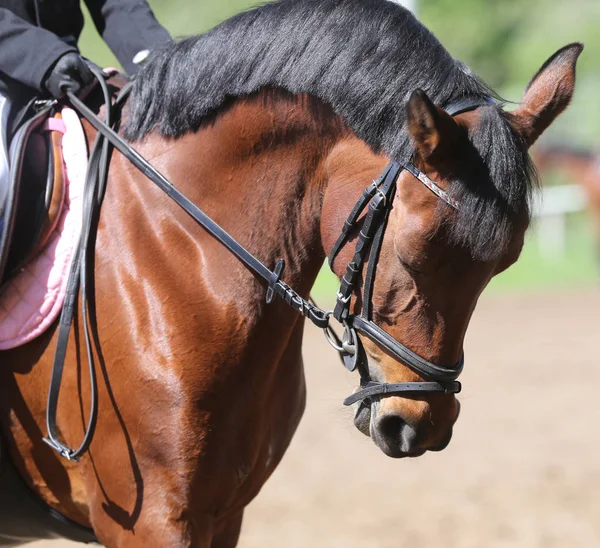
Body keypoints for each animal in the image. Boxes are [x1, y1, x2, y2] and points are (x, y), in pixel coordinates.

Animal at [0, 0, 580, 544]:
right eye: (414, 253)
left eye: (500, 266)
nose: (419, 427)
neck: (180, 251)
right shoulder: (150, 521)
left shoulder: (222, 515)